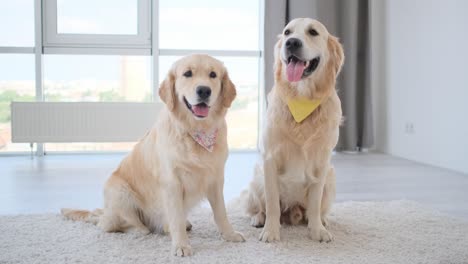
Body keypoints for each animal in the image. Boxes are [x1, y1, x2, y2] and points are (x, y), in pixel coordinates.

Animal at [62, 54, 245, 256]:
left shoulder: (215, 178)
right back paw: (143, 229)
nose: (204, 90)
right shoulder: (172, 183)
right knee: (117, 225)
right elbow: (176, 218)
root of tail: (105, 213)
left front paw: (229, 235)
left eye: (213, 75)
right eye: (187, 74)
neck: (196, 131)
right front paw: (181, 245)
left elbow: (221, 213)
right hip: (119, 191)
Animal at [245, 17, 344, 242]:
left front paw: (317, 230)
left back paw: (322, 220)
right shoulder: (270, 158)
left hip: (331, 177)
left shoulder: (322, 161)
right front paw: (271, 231)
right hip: (257, 178)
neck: (302, 97)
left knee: (314, 209)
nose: (291, 43)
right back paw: (258, 218)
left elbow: (315, 203)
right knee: (261, 206)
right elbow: (272, 203)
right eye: (287, 32)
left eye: (313, 32)